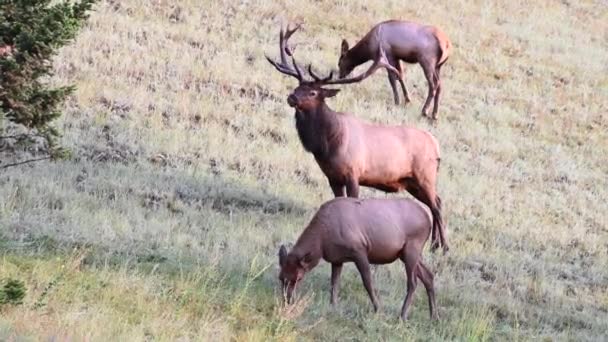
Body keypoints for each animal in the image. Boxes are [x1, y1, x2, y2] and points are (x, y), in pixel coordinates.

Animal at [264, 24, 446, 251]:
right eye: (298, 87)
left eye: (314, 92)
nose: (292, 97)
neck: (327, 144)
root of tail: (436, 145)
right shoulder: (333, 177)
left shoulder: (353, 173)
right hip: (412, 181)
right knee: (435, 202)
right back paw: (435, 244)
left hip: (425, 175)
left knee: (437, 205)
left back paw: (444, 246)